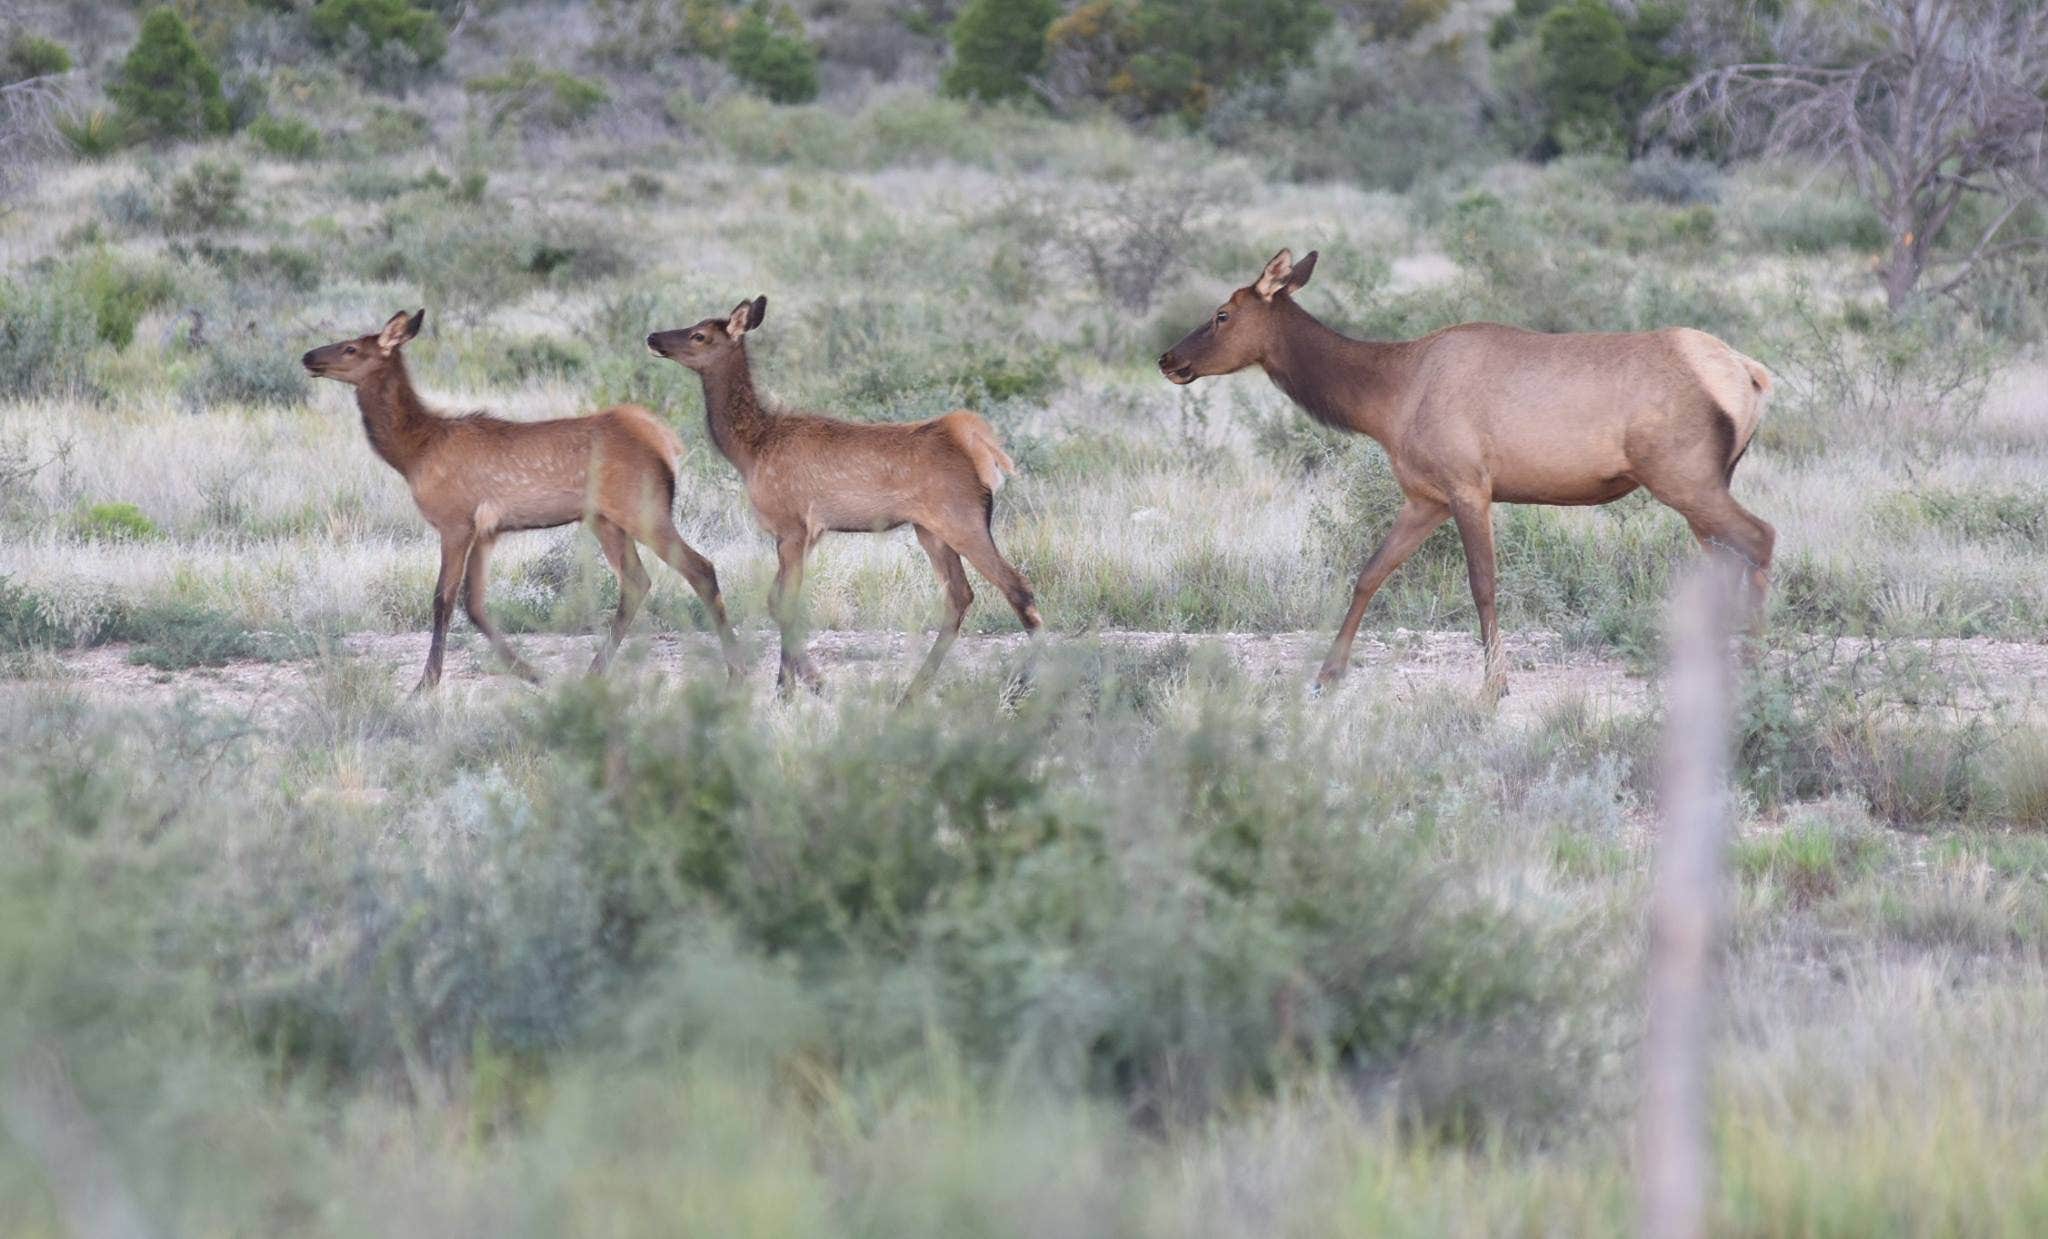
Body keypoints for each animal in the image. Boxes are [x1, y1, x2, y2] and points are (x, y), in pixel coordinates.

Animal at [299, 309, 749, 692]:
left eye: (351, 347)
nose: (308, 356)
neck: (414, 453)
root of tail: (666, 443)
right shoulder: (488, 531)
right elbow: (475, 604)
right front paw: (533, 674)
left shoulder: (455, 521)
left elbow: (442, 599)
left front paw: (425, 684)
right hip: (605, 520)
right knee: (637, 581)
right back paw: (594, 672)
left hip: (643, 509)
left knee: (700, 568)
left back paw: (735, 671)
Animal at [651, 292, 1040, 696]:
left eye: (699, 335)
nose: (653, 337)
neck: (750, 449)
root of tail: (979, 448)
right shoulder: (811, 532)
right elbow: (778, 600)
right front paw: (798, 683)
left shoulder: (792, 524)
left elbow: (783, 602)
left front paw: (793, 687)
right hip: (931, 531)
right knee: (960, 596)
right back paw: (911, 692)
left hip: (962, 519)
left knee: (1017, 587)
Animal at [1155, 249, 1777, 696]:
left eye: (1222, 314)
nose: (1167, 358)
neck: (1385, 402)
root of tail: (1751, 373)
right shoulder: (1424, 496)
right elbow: (1370, 573)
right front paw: (1328, 674)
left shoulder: (1468, 485)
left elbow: (1482, 584)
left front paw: (1494, 685)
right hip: (1704, 483)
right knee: (1726, 558)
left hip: (1684, 475)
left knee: (1760, 537)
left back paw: (1752, 663)